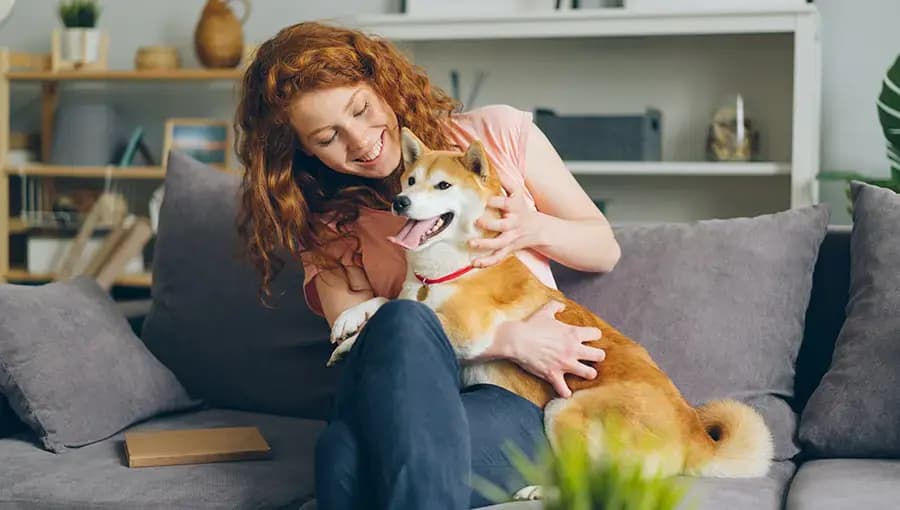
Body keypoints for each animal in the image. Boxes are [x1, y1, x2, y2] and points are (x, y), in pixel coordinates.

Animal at [326, 125, 772, 496]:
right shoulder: (416, 292)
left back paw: (542, 490)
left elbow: (401, 309)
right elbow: (387, 299)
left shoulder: (465, 327)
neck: (448, 269)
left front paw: (355, 339)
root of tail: (692, 434)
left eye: (443, 185)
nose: (400, 202)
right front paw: (349, 321)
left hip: (563, 409)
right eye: (411, 181)